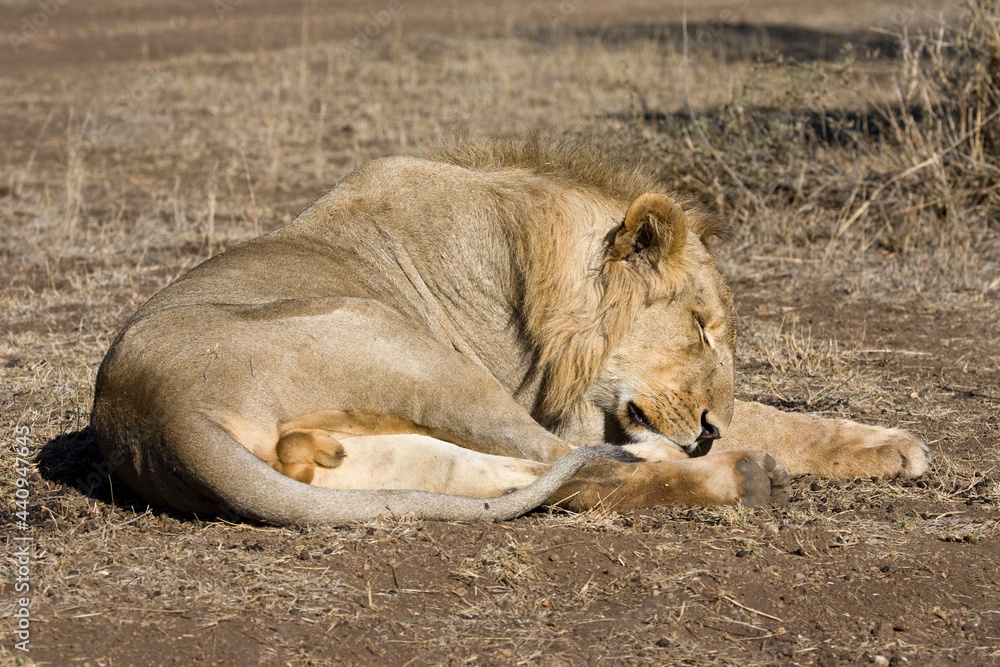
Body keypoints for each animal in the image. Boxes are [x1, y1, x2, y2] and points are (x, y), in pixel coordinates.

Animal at [90, 137, 929, 524]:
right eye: (701, 327)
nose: (710, 430)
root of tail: (149, 413)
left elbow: (779, 412)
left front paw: (890, 444)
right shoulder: (568, 405)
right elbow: (748, 420)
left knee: (504, 471)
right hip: (409, 345)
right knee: (575, 468)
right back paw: (742, 475)